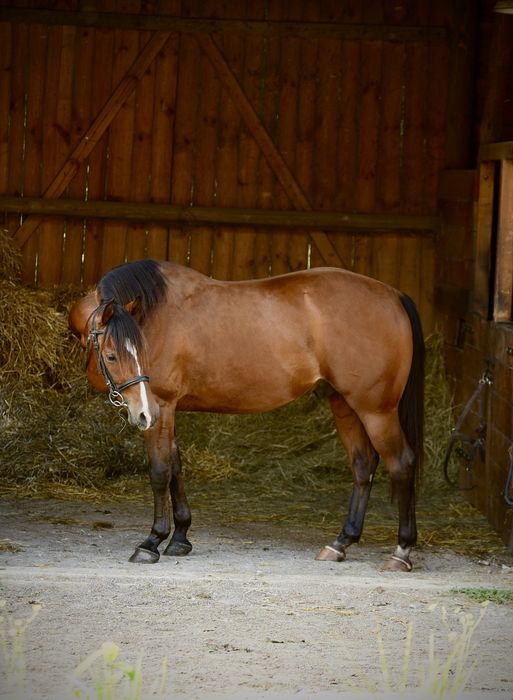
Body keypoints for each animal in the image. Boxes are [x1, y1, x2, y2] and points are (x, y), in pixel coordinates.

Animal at [68, 259, 424, 571]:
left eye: (122, 354)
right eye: (112, 355)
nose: (141, 412)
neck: (158, 313)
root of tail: (394, 295)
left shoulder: (162, 408)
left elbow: (160, 472)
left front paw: (152, 541)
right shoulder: (166, 411)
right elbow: (177, 468)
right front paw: (180, 537)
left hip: (376, 410)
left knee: (401, 463)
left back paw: (401, 551)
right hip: (345, 405)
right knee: (363, 466)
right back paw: (341, 543)